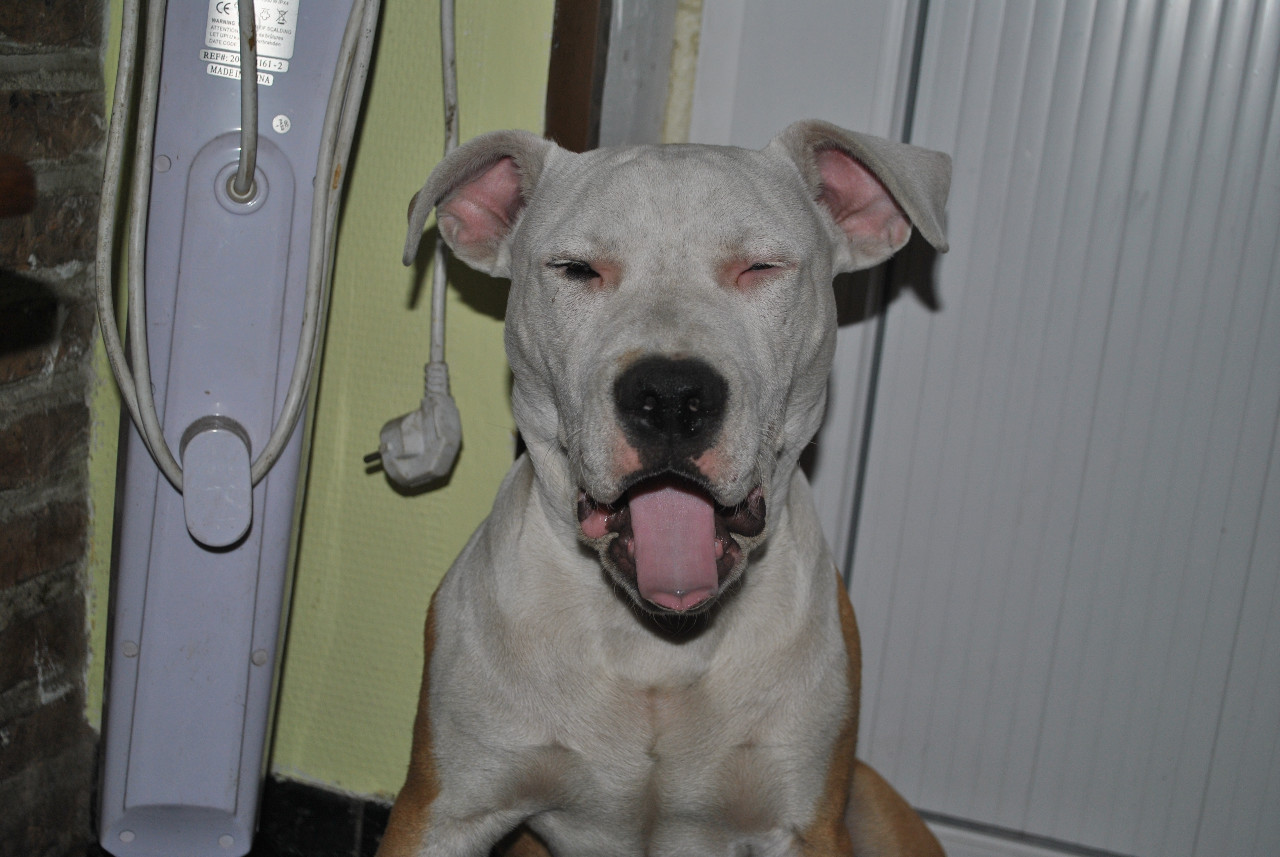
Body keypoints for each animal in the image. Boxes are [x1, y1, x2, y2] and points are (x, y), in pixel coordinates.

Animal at [375, 120, 951, 857]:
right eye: (577, 269)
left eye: (761, 267)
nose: (673, 397)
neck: (655, 650)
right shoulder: (443, 810)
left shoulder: (807, 825)